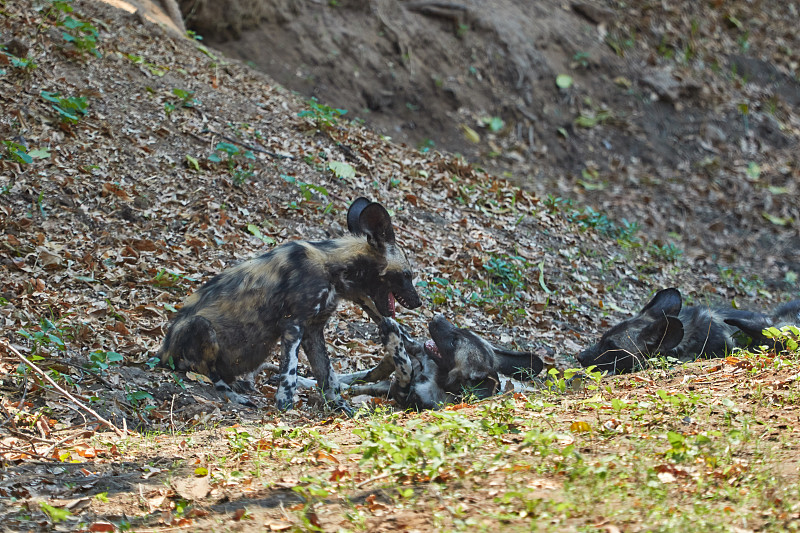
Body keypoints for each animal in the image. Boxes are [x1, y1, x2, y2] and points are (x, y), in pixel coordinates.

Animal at [155, 197, 418, 414]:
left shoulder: (313, 330)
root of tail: (161, 352)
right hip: (201, 326)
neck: (335, 268)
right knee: (206, 373)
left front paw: (338, 405)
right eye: (408, 275)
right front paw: (285, 404)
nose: (418, 302)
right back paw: (235, 396)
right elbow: (290, 369)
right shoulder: (293, 325)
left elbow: (326, 374)